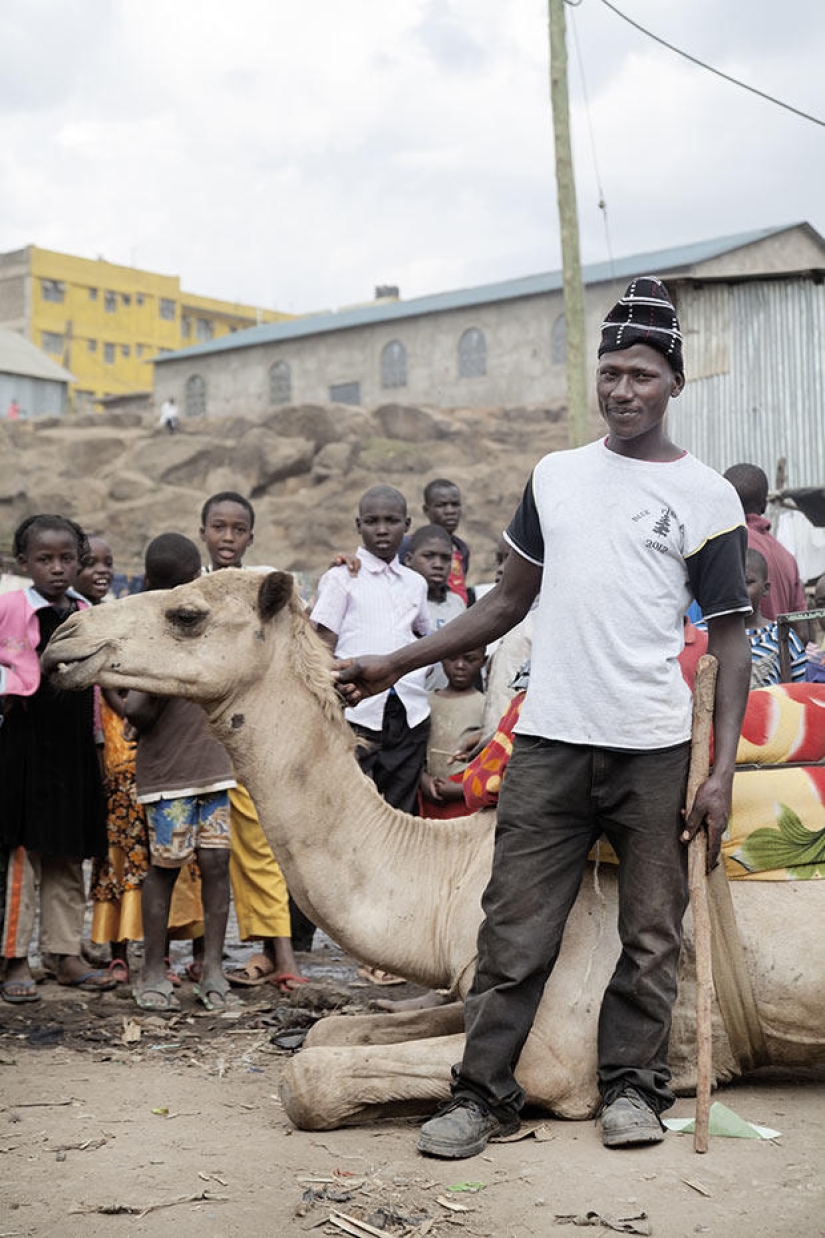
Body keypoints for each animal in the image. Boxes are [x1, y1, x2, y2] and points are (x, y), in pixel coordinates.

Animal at [43, 569, 822, 1134]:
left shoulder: (558, 1048)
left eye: (187, 614)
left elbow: (308, 1078)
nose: (63, 638)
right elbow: (332, 1029)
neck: (449, 875)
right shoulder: (472, 984)